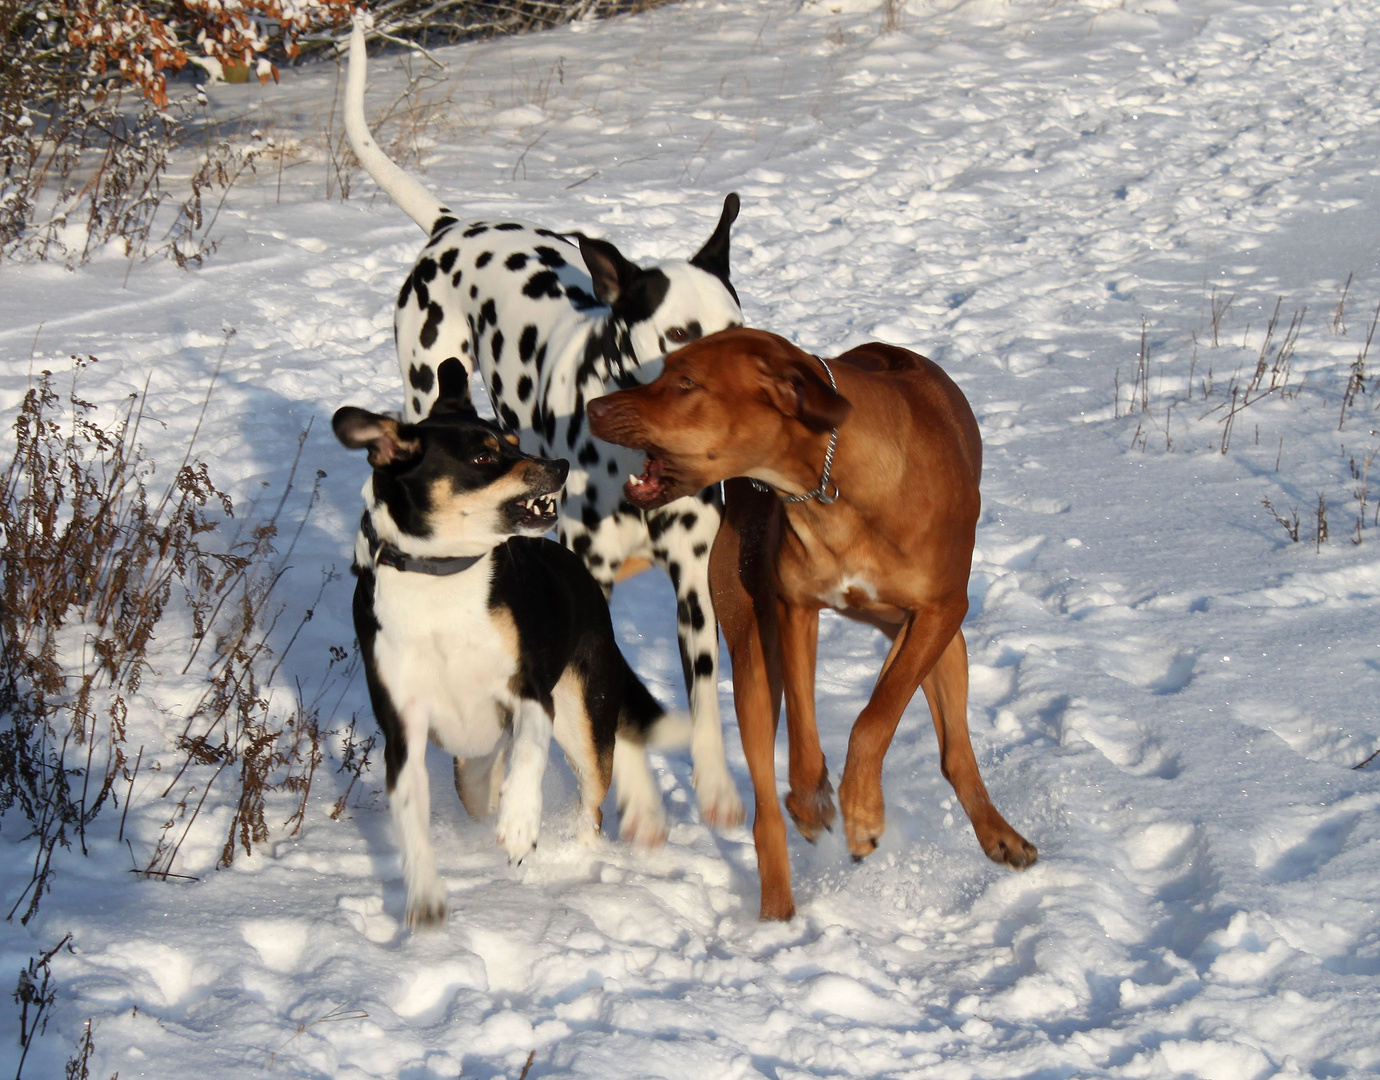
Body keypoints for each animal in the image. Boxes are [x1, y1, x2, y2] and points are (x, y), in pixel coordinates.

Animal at [338, 364, 690, 926]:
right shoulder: (403, 726)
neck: (442, 578)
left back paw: (590, 852)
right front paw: (424, 897)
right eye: (483, 457)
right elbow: (411, 822)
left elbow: (529, 753)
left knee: (596, 787)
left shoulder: (530, 692)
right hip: (473, 764)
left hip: (581, 708)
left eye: (513, 442)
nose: (560, 466)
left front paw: (521, 825)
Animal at [345, 18, 750, 838]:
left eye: (738, 328)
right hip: (424, 384)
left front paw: (718, 787)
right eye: (679, 336)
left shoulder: (694, 580)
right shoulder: (589, 578)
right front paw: (634, 801)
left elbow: (699, 693)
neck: (637, 465)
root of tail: (450, 224)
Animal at [585, 325, 1037, 915]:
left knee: (954, 750)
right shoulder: (792, 609)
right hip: (751, 652)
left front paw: (862, 811)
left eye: (686, 382)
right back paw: (778, 911)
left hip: (946, 641)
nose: (593, 407)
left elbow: (875, 715)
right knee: (764, 809)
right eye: (666, 371)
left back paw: (999, 835)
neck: (834, 484)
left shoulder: (941, 612)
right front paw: (814, 801)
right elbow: (805, 723)